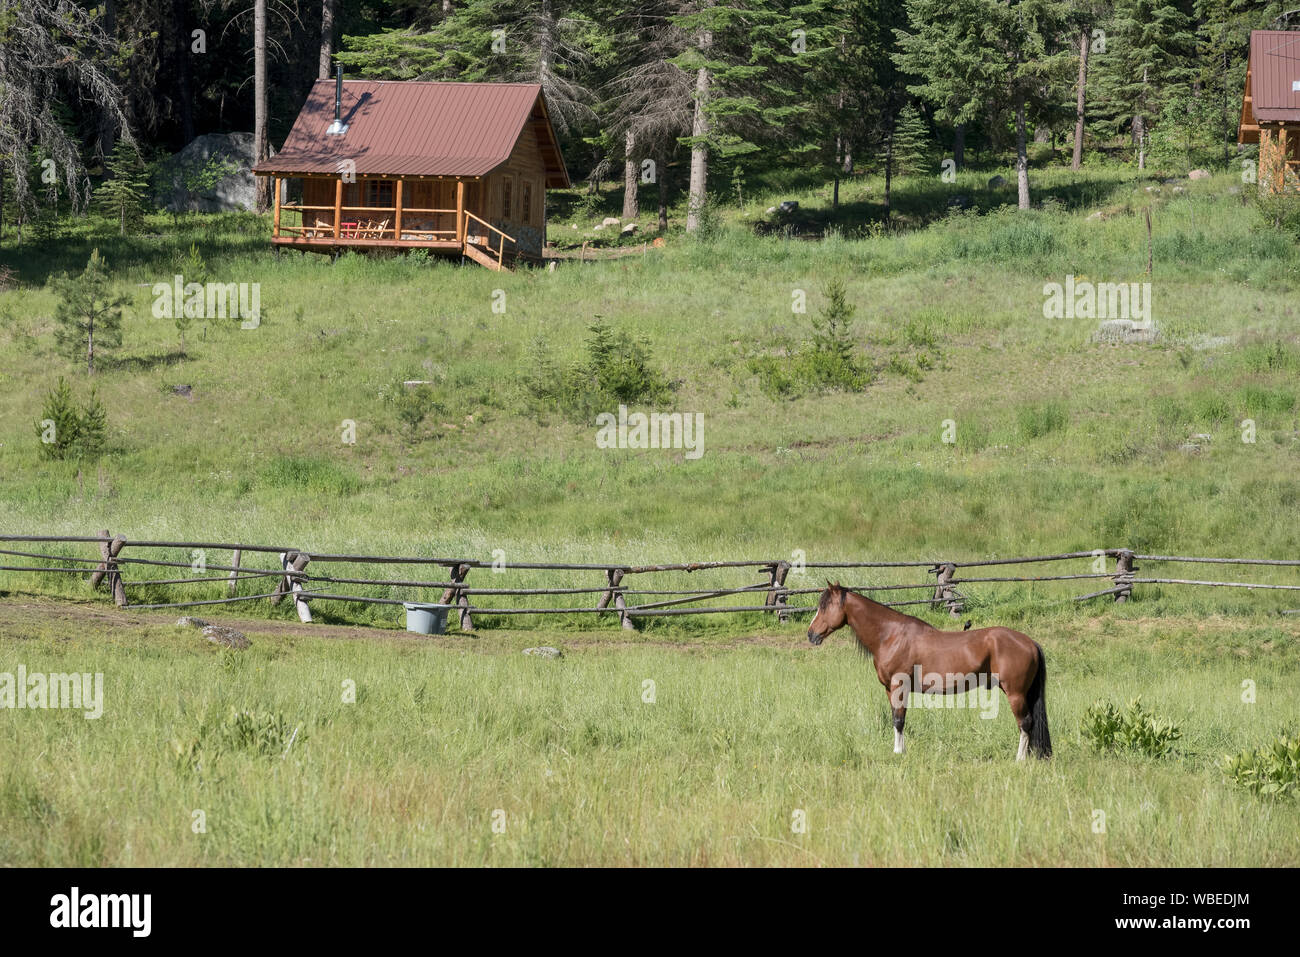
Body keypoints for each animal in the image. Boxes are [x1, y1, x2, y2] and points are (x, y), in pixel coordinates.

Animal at [806, 582, 1052, 760]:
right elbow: (896, 718)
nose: (811, 634)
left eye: (825, 606)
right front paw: (899, 750)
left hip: (1015, 693)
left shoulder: (899, 686)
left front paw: (898, 753)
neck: (890, 636)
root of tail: (1029, 642)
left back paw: (1019, 759)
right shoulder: (890, 690)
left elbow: (899, 720)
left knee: (1025, 723)